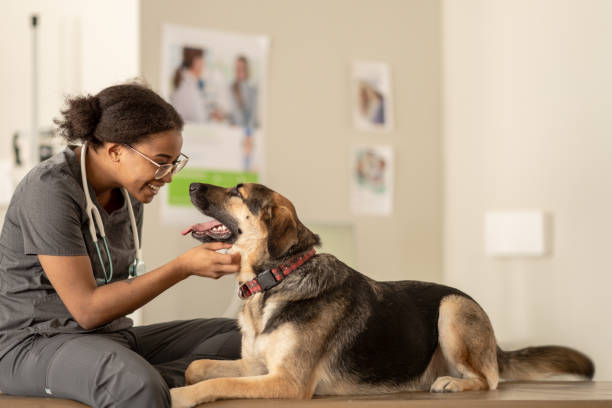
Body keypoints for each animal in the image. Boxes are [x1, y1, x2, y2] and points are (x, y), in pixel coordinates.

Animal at [170, 183, 596, 406]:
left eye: (237, 193)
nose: (190, 184)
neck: (278, 278)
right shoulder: (257, 367)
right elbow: (198, 367)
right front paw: (186, 380)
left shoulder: (288, 382)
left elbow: (216, 384)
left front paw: (179, 396)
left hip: (452, 308)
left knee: (488, 380)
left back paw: (453, 383)